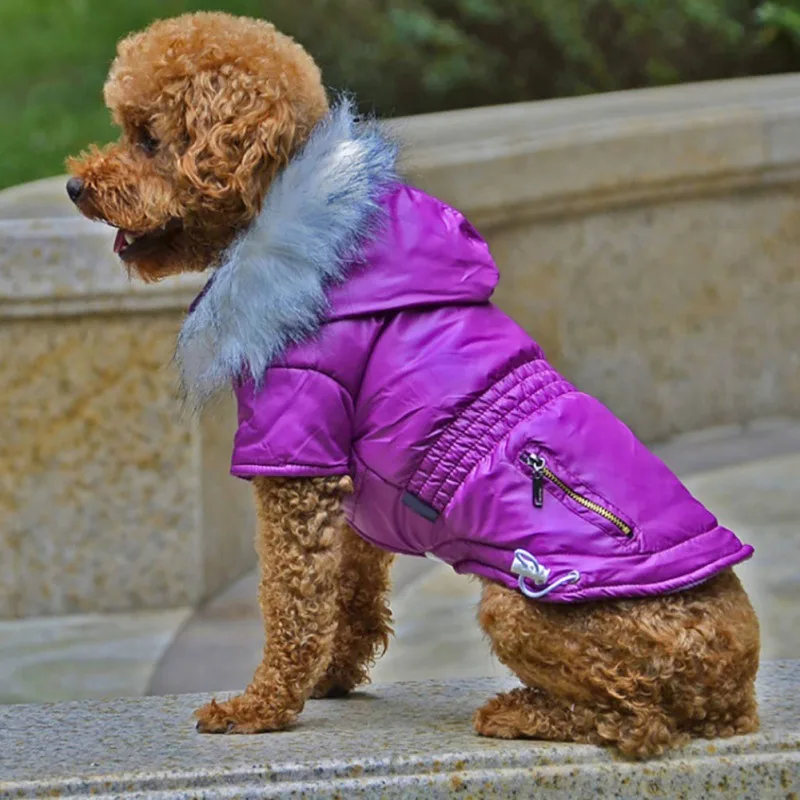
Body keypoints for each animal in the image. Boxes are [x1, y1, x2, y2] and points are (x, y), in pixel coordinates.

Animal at [65, 14, 760, 764]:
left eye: (148, 138)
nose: (75, 186)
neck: (314, 231)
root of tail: (735, 686)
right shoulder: (351, 481)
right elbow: (351, 590)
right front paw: (332, 679)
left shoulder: (296, 450)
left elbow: (291, 598)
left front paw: (262, 706)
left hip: (524, 602)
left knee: (639, 718)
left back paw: (523, 711)